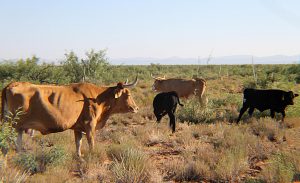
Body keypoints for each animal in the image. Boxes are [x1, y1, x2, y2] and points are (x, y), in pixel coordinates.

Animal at [0, 78, 139, 157]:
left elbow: (78, 143)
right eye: (128, 94)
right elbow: (91, 143)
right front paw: (92, 156)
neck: (98, 98)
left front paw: (79, 157)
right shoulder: (90, 125)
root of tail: (12, 84)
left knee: (17, 142)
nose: (136, 108)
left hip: (17, 126)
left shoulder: (78, 127)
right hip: (12, 124)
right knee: (8, 142)